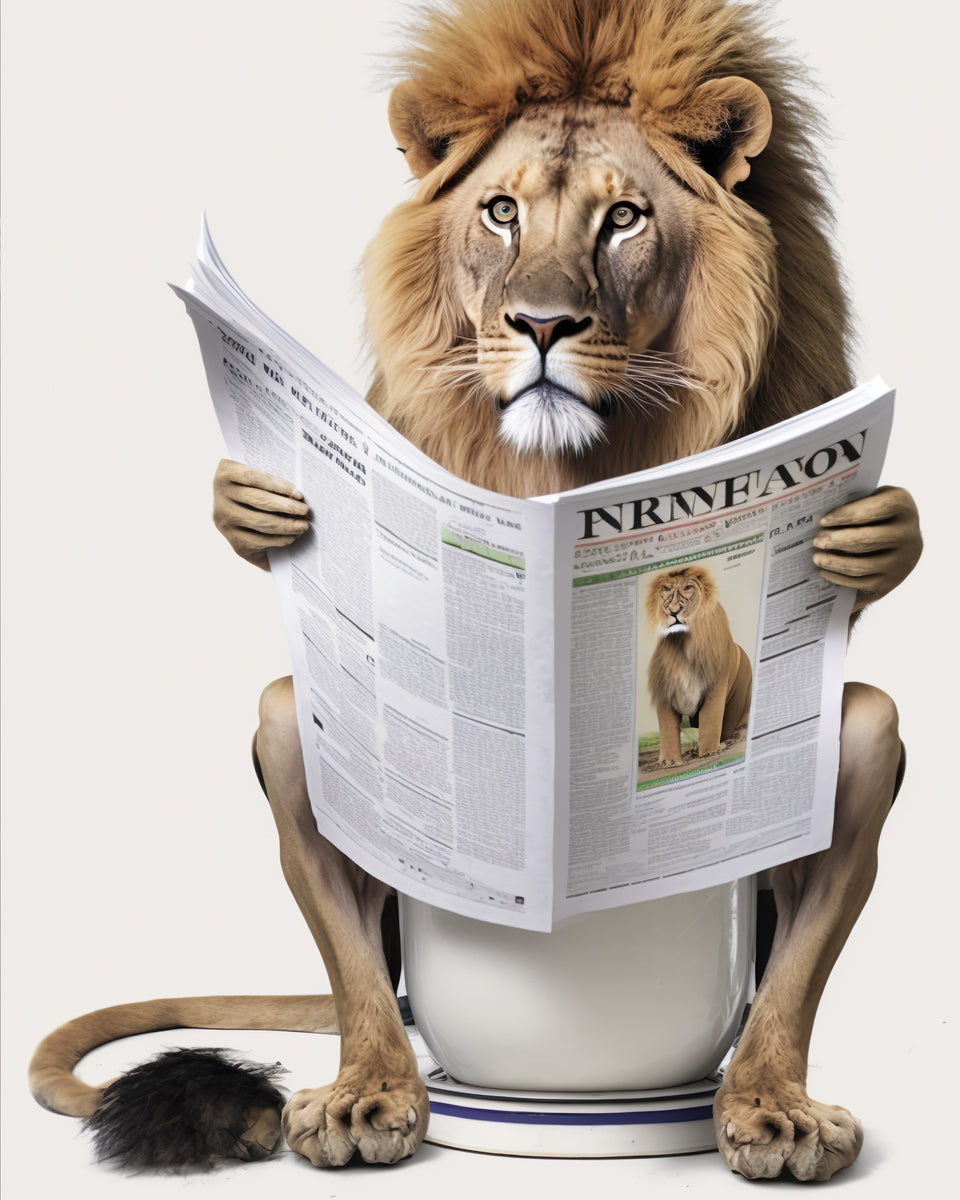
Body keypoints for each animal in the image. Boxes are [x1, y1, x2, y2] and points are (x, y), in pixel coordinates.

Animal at [645, 566, 752, 765]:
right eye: (666, 590)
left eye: (688, 588)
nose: (673, 612)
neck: (683, 643)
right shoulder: (665, 687)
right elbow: (667, 730)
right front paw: (669, 762)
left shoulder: (717, 685)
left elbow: (711, 720)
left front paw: (709, 752)